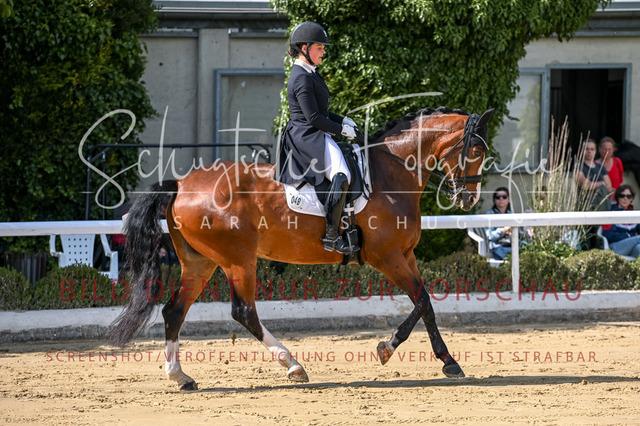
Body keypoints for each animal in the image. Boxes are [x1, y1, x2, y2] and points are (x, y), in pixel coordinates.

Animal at [109, 106, 494, 390]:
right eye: (476, 151)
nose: (469, 198)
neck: (391, 174)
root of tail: (181, 183)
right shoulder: (386, 257)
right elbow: (423, 300)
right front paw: (438, 359)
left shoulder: (405, 254)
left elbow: (423, 302)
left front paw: (400, 350)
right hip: (238, 260)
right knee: (243, 312)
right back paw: (293, 365)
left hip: (200, 262)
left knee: (175, 310)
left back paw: (181, 376)